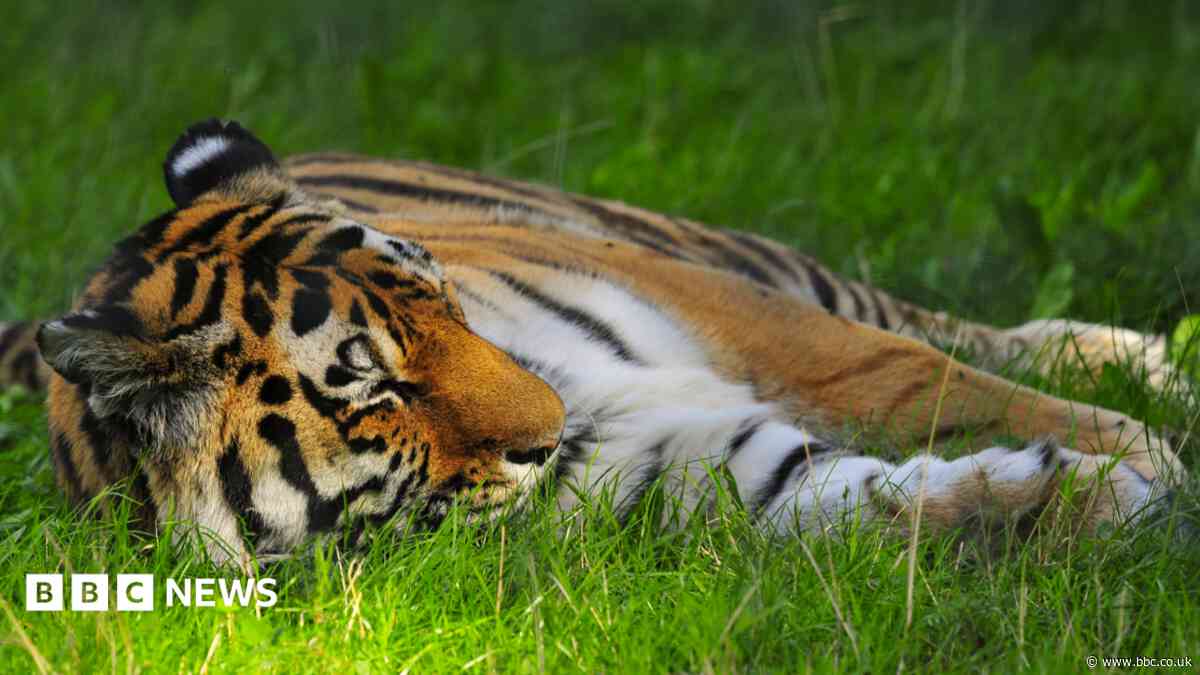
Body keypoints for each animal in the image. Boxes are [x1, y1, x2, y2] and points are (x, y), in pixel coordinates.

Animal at [0, 119, 1188, 564]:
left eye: (447, 306)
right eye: (373, 390)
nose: (552, 427)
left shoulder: (738, 312)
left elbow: (910, 378)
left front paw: (1142, 455)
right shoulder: (705, 473)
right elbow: (875, 500)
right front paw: (1103, 494)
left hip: (728, 253)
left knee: (944, 326)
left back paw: (1153, 363)